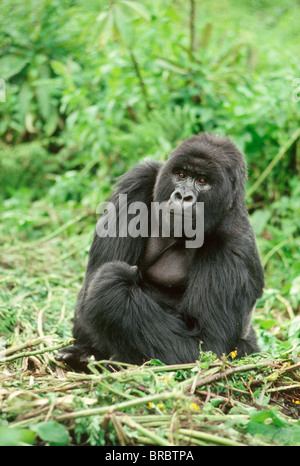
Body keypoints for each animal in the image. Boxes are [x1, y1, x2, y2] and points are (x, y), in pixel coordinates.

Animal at [56, 133, 264, 370]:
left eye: (203, 181)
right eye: (181, 174)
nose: (183, 196)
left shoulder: (233, 243)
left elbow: (208, 346)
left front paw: (113, 283)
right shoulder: (138, 180)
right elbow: (88, 291)